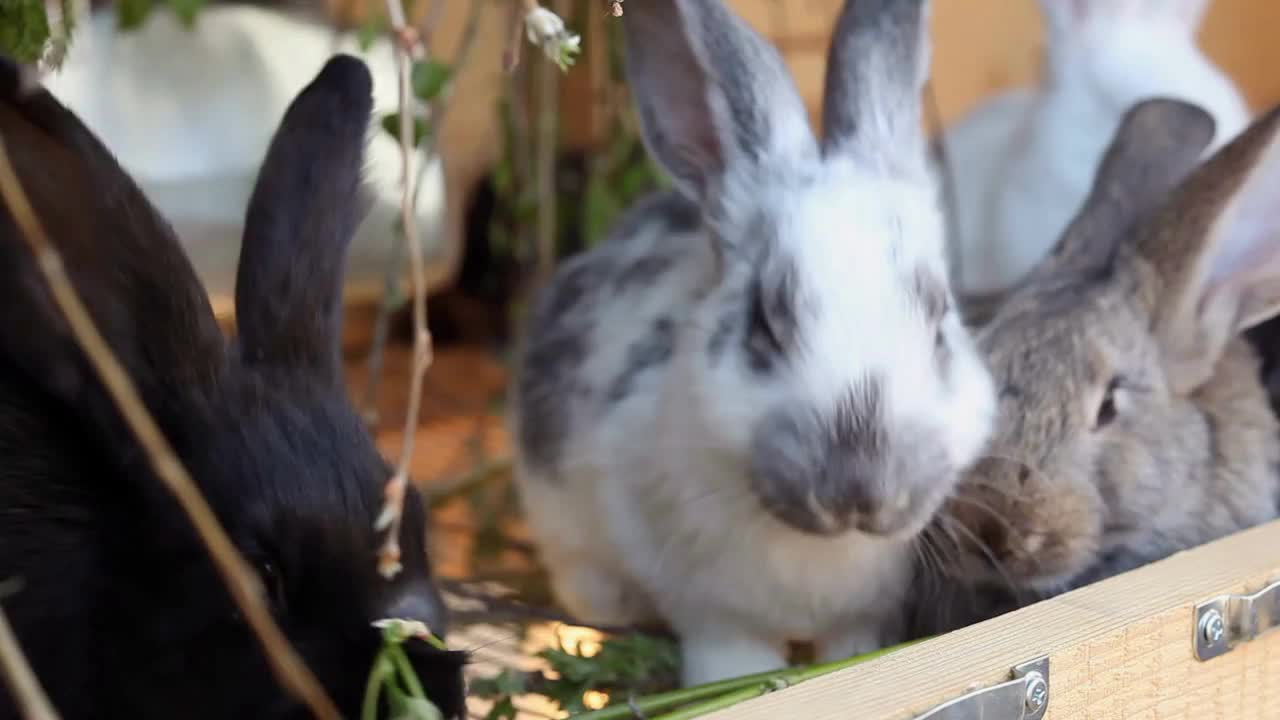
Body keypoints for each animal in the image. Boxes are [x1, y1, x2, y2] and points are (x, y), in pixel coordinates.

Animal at [504, 0, 993, 681]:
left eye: (940, 315)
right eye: (763, 321)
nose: (860, 490)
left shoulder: (862, 618)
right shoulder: (714, 614)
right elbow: (732, 659)